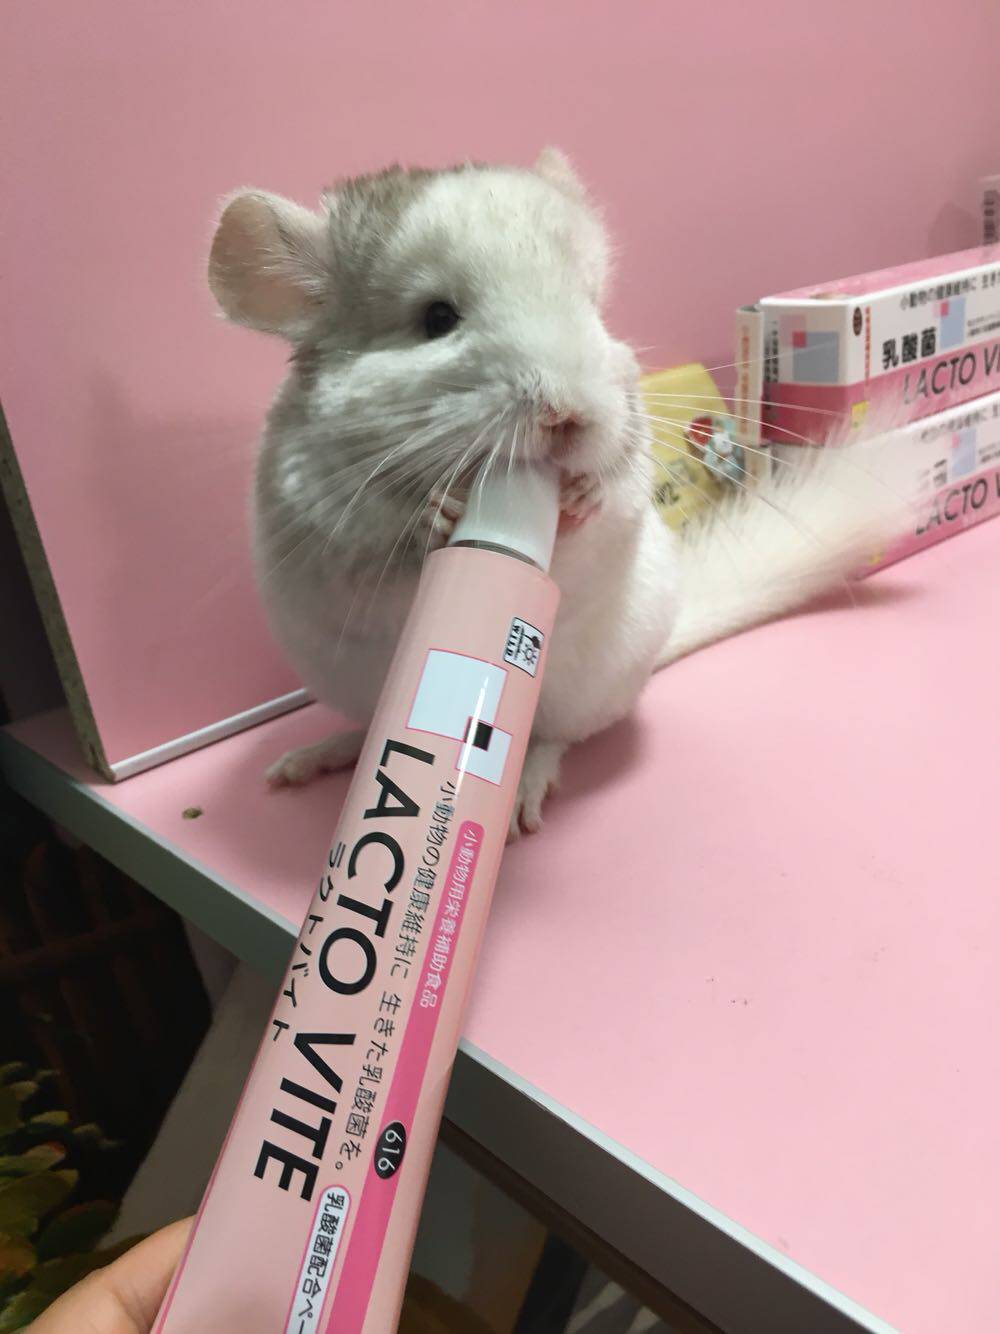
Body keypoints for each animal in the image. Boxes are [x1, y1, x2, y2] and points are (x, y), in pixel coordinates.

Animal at [208, 149, 903, 836]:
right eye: (436, 319)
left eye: (591, 307)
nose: (570, 416)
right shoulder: (323, 515)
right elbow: (382, 539)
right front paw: (439, 512)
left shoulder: (625, 482)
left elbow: (603, 513)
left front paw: (578, 497)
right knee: (365, 729)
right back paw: (311, 758)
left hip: (580, 694)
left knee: (554, 739)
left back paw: (521, 800)